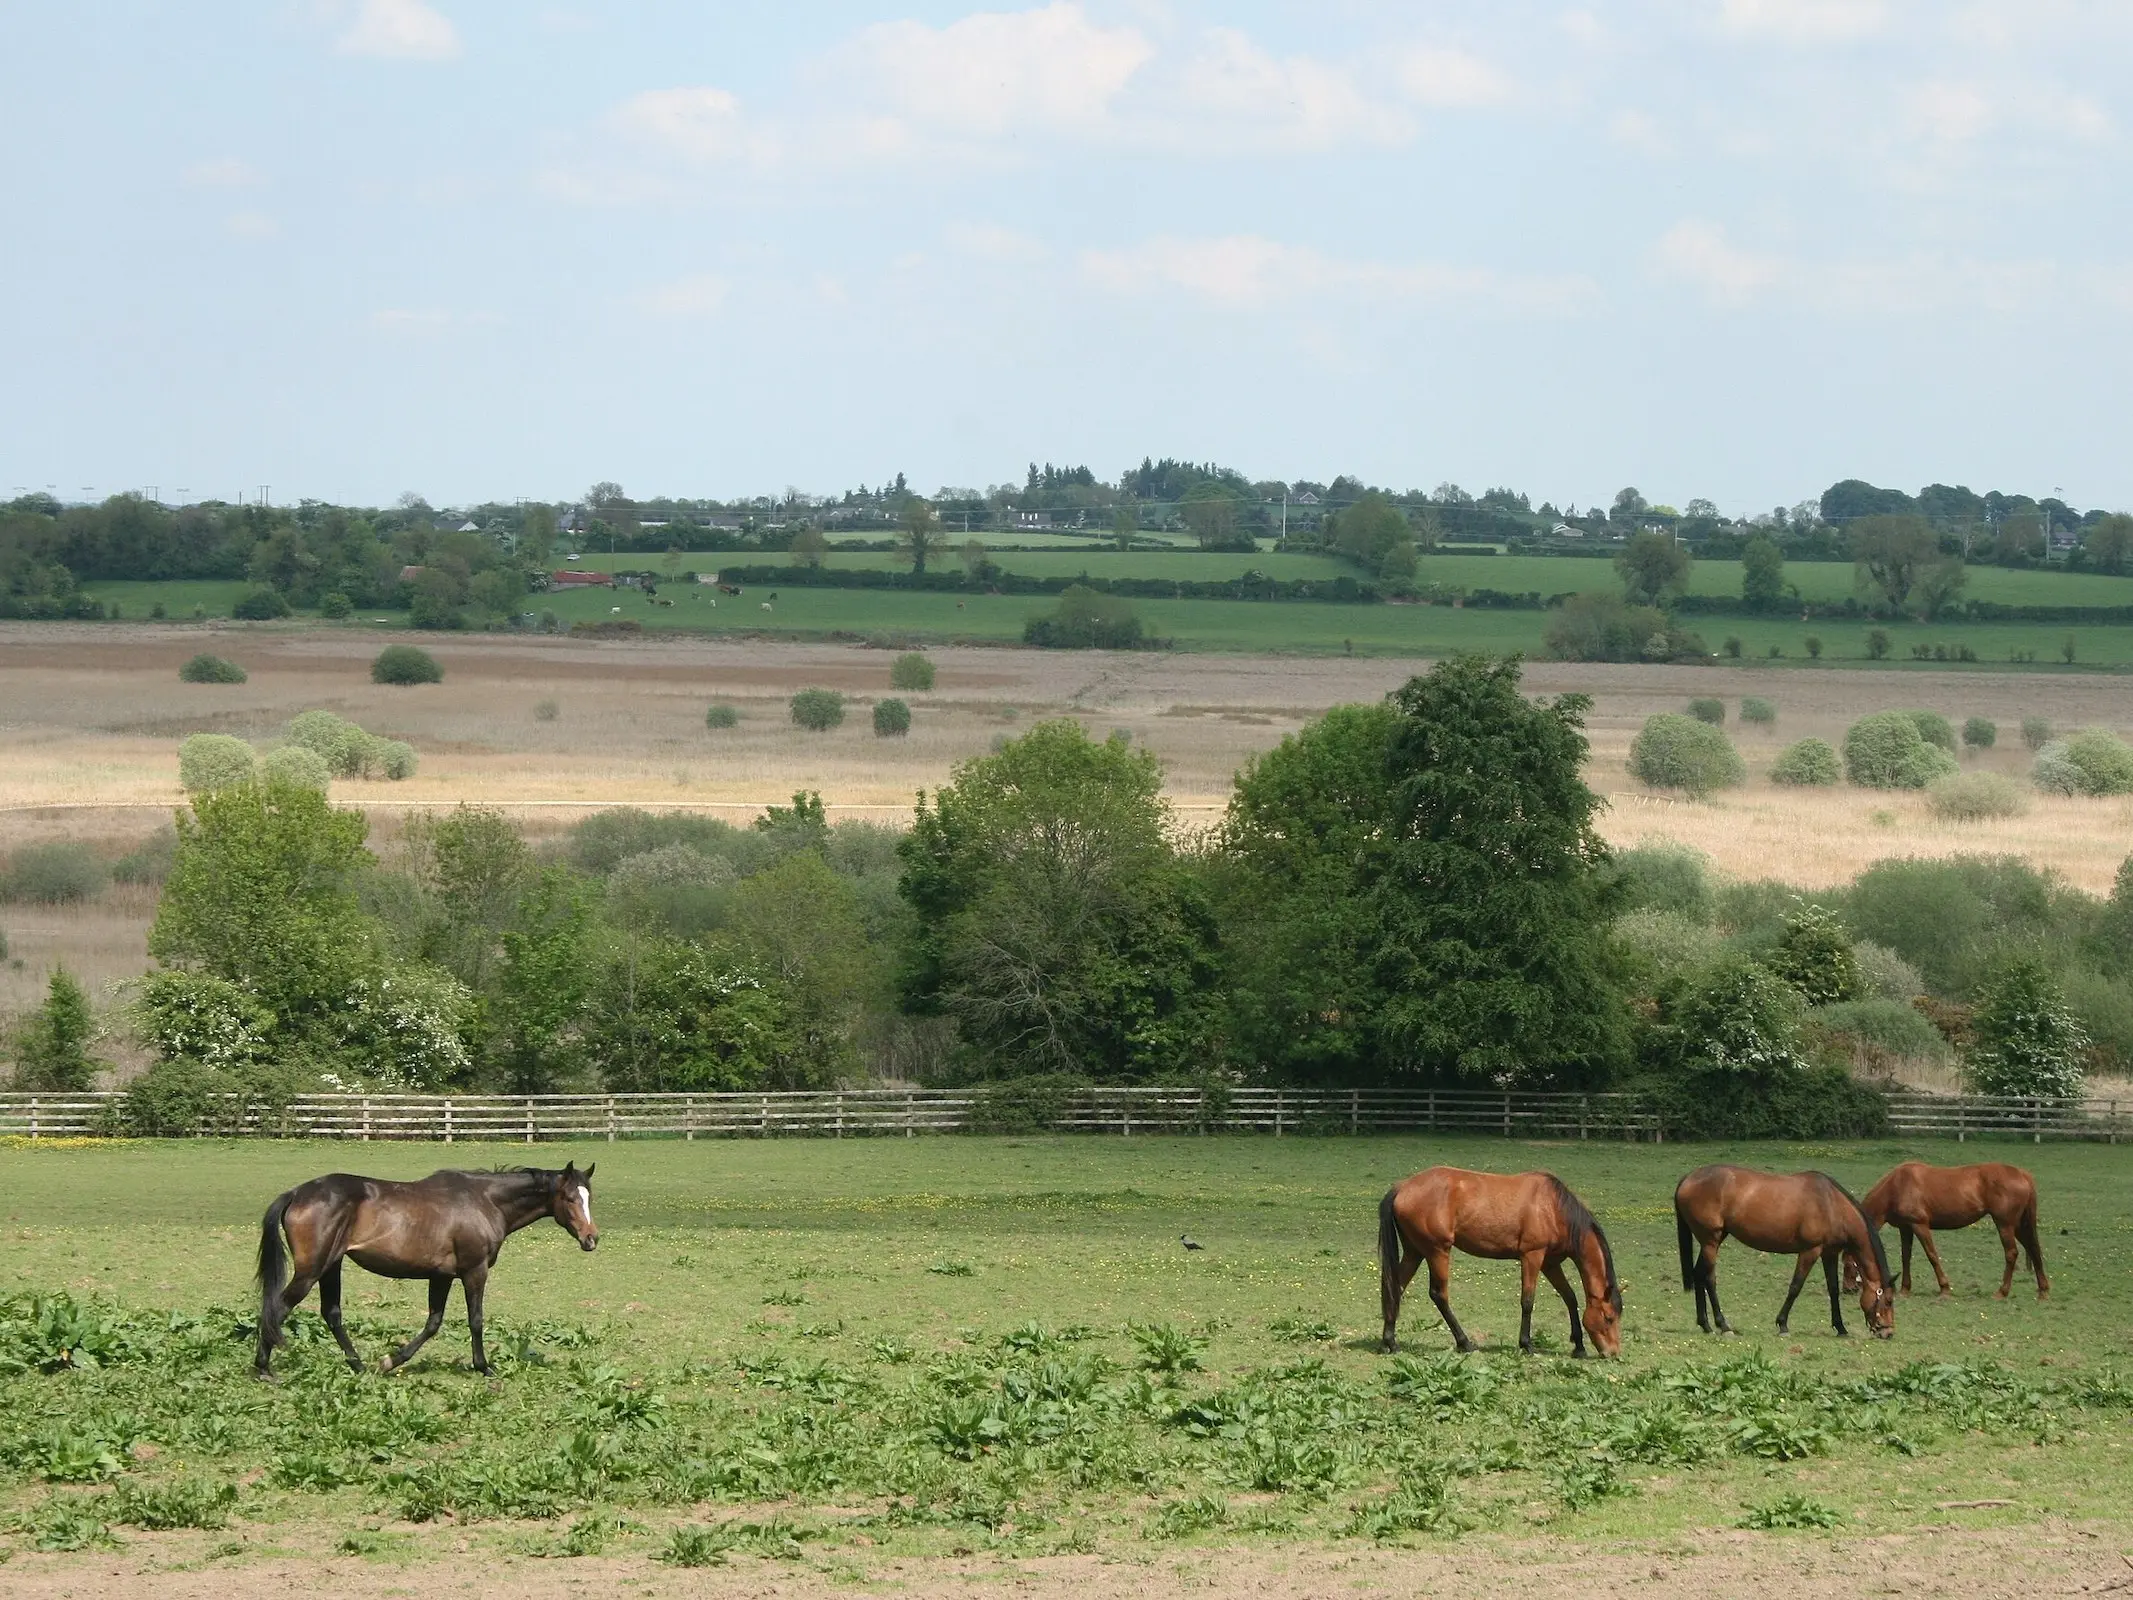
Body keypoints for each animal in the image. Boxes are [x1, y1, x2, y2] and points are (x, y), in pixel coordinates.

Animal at [257, 1160, 597, 1382]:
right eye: (570, 1198)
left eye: (589, 1197)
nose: (591, 1239)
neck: (484, 1201)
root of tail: (296, 1193)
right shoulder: (474, 1271)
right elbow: (476, 1320)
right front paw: (484, 1367)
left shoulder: (441, 1276)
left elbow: (433, 1322)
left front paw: (389, 1361)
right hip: (312, 1271)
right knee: (278, 1308)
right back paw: (262, 1368)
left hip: (332, 1266)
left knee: (332, 1313)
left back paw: (359, 1366)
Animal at [1373, 1169, 1621, 1356]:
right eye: (1608, 1318)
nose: (1613, 1353)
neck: (1553, 1208)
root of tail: (1402, 1187)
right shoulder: (1532, 1256)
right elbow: (1527, 1301)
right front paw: (1526, 1344)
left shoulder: (1550, 1263)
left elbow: (1570, 1297)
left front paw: (1579, 1346)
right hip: (1437, 1252)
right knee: (1439, 1294)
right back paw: (1464, 1342)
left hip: (1415, 1252)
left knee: (1395, 1287)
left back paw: (1390, 1342)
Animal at [1672, 1169, 1894, 1339]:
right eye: (1889, 1301)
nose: (1888, 1332)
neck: (1831, 1204)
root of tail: (1688, 1178)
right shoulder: (1810, 1251)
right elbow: (1795, 1286)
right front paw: (1783, 1324)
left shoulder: (1829, 1253)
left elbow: (1833, 1289)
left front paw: (1840, 1327)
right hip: (1710, 1241)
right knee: (1709, 1278)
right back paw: (1723, 1325)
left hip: (1711, 1241)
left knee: (1698, 1274)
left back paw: (1705, 1324)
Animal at [1842, 1169, 2039, 1305]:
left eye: (1847, 1264)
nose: (1847, 1289)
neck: (1897, 1186)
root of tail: (2023, 1174)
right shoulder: (1906, 1228)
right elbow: (1906, 1257)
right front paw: (1905, 1289)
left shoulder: (1920, 1225)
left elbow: (1932, 1256)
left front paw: (1944, 1288)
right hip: (2018, 1226)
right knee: (2033, 1250)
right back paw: (2042, 1290)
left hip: (2005, 1225)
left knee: (2012, 1253)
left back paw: (2002, 1292)